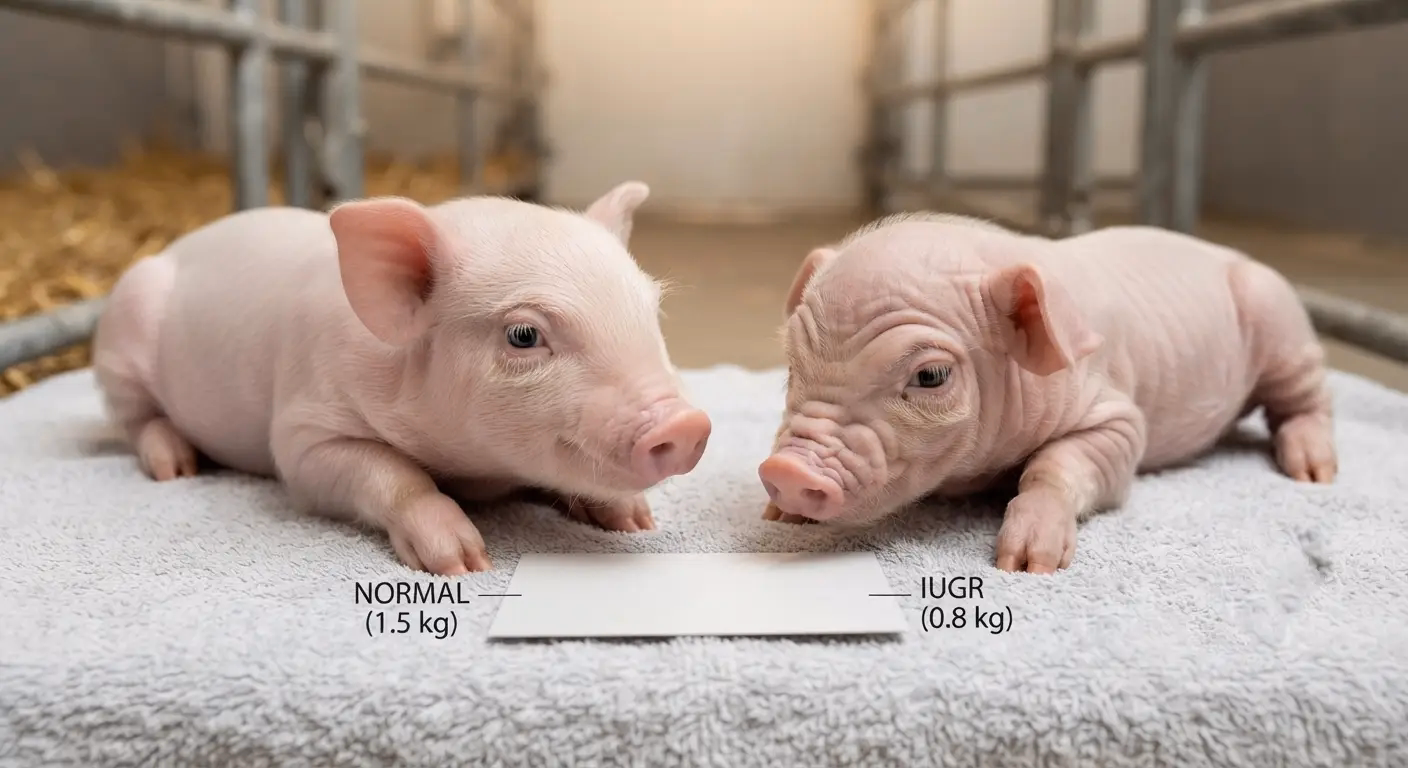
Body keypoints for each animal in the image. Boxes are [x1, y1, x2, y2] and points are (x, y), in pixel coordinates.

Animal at [91, 182, 712, 575]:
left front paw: (636, 522)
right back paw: (175, 467)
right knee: (136, 419)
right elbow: (392, 473)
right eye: (523, 335)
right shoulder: (303, 432)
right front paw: (464, 562)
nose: (687, 424)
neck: (477, 472)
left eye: (651, 311)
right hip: (119, 345)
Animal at [758, 212, 1336, 574]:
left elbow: (1059, 461)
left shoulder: (1116, 414)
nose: (787, 470)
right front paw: (778, 517)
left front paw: (1026, 564)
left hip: (1283, 328)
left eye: (931, 376)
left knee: (1307, 399)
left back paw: (1314, 473)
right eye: (791, 363)